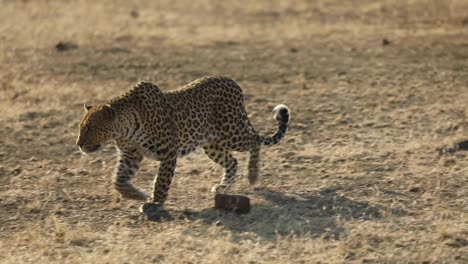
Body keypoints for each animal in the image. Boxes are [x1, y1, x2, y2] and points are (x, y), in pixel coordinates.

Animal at [76, 75, 288, 211]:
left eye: (90, 128)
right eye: (81, 127)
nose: (78, 144)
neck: (126, 129)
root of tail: (233, 82)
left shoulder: (168, 152)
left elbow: (161, 181)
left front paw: (155, 203)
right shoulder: (130, 155)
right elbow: (118, 180)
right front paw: (138, 194)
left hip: (232, 132)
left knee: (255, 140)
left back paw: (253, 175)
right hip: (211, 144)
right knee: (233, 161)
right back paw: (222, 187)